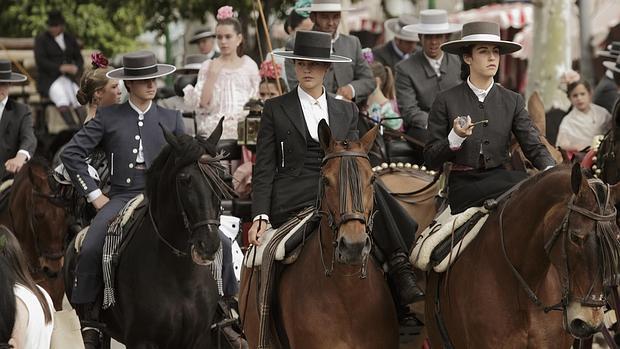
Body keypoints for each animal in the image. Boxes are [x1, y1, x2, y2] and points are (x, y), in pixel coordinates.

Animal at [65, 119, 235, 346]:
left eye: (220, 177)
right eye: (184, 180)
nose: (209, 245)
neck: (180, 273)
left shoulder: (198, 338)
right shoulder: (141, 340)